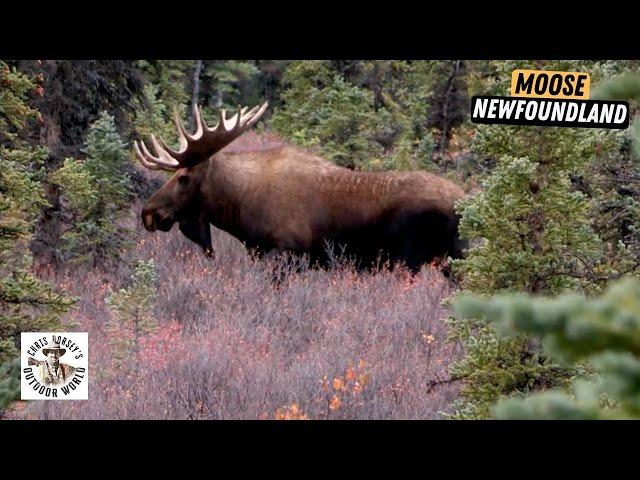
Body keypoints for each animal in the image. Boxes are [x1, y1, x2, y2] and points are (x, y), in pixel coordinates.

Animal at [134, 102, 464, 272]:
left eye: (183, 178)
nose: (148, 212)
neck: (239, 206)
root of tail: (464, 200)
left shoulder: (285, 253)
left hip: (413, 260)